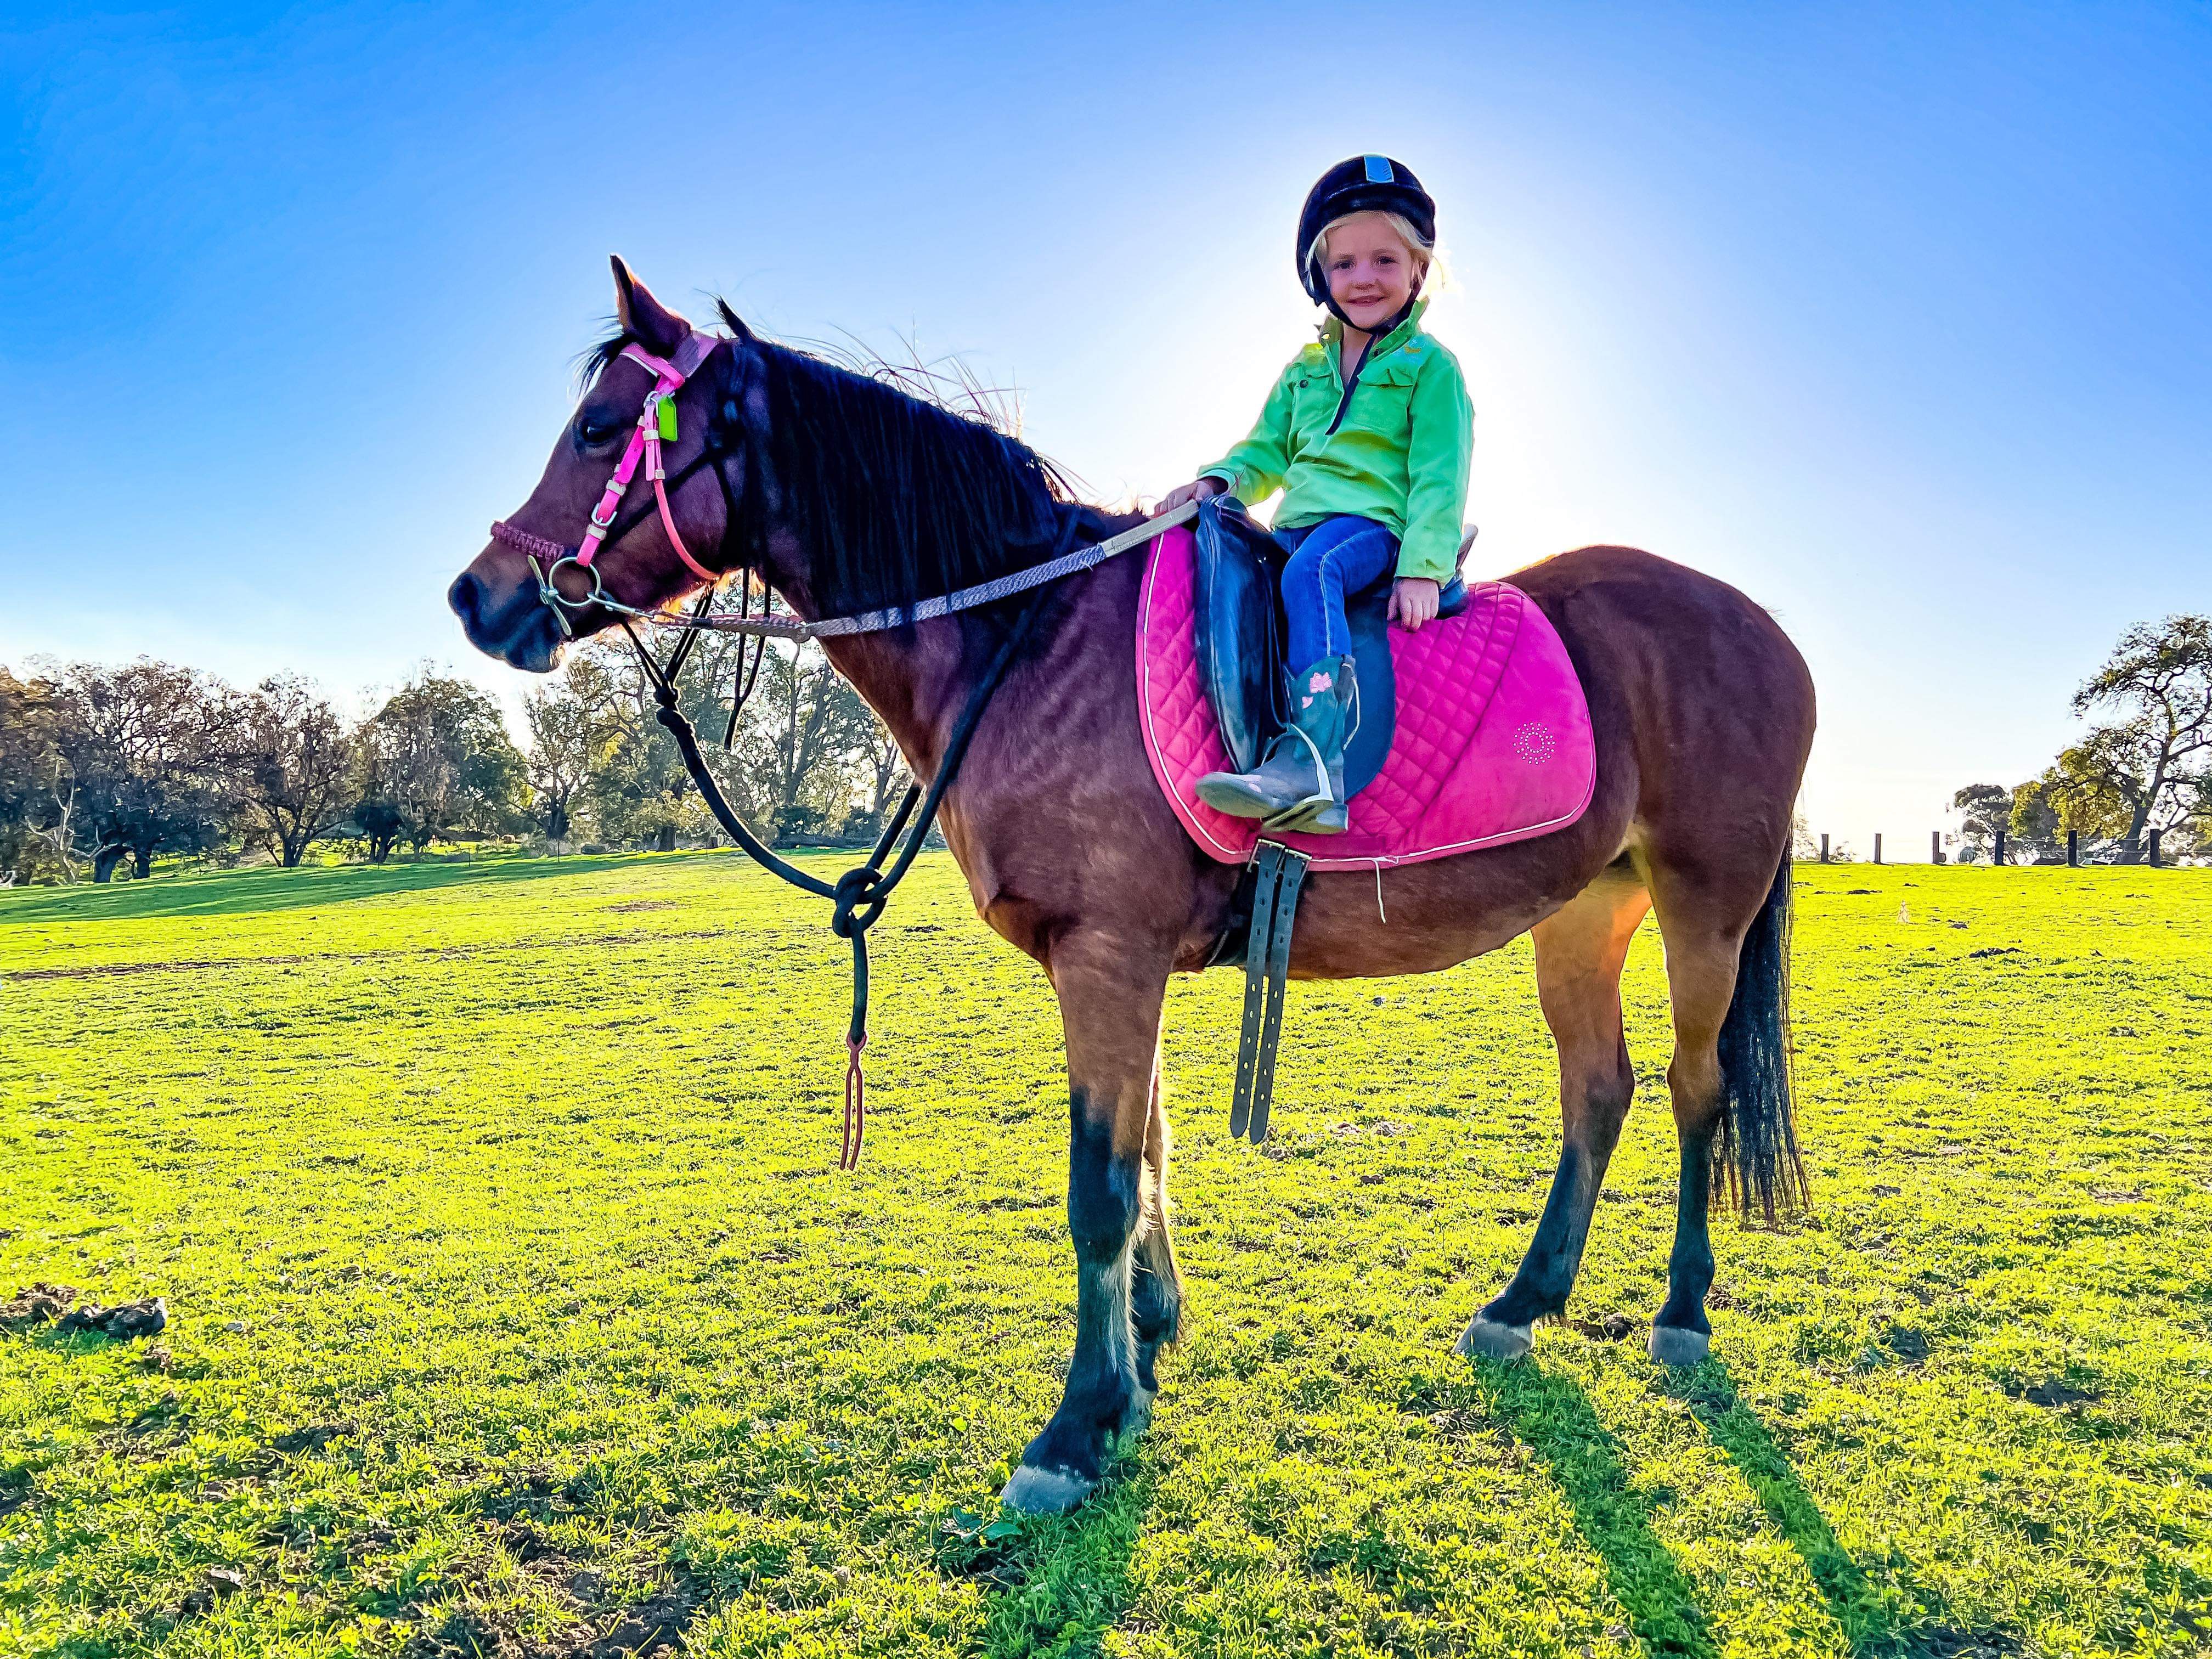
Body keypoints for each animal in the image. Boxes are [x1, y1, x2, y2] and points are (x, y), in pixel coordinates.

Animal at [449, 258, 1817, 1515]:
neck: (1028, 641)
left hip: (1706, 906)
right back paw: (1524, 1304)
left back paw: (1682, 1312)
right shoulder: (1115, 958)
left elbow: (1099, 1188)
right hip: (1585, 913)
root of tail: (1764, 628)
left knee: (1697, 1089)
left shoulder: (1106, 953)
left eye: (598, 430)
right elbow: (1148, 1152)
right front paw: (1147, 1342)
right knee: (1602, 1092)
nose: (478, 596)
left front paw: (1078, 1425)